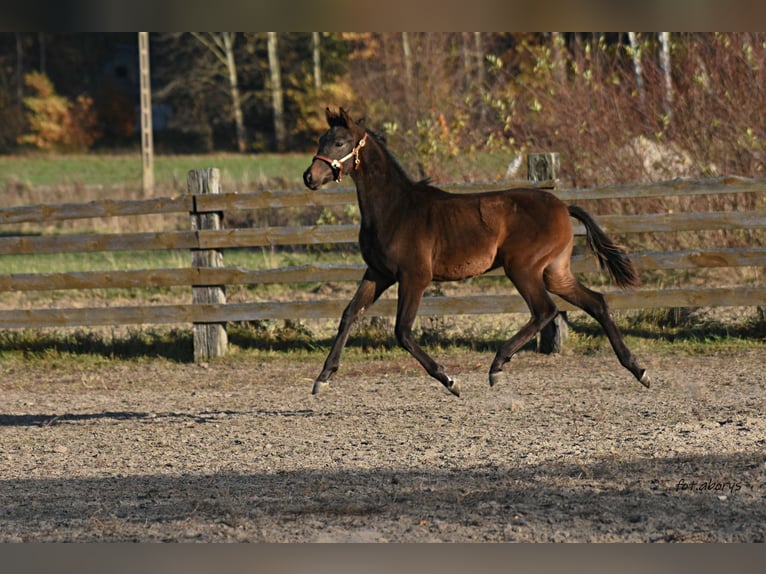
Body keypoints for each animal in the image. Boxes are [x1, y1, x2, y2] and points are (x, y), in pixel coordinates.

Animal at [304, 107, 652, 396]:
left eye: (339, 142)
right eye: (321, 140)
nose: (310, 177)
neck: (395, 209)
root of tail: (564, 207)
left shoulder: (414, 277)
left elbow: (402, 331)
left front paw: (450, 380)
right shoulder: (378, 273)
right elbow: (349, 315)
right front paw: (323, 378)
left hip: (523, 268)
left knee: (546, 310)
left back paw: (497, 366)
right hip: (555, 272)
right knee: (597, 303)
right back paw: (638, 369)